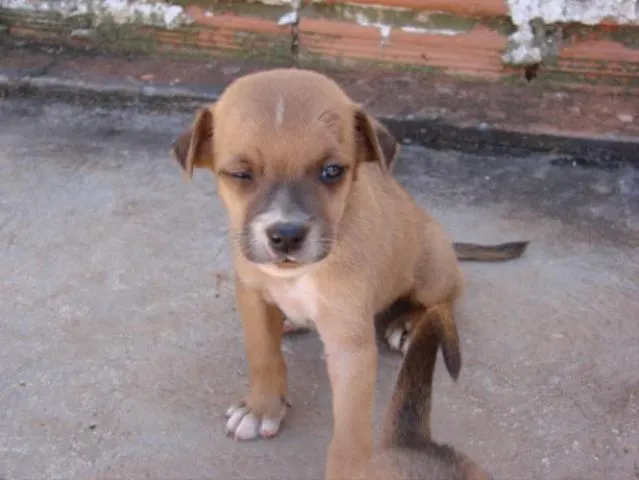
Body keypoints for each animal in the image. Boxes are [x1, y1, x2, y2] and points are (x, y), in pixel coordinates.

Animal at [171, 68, 528, 480]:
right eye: (240, 174)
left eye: (332, 171)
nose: (286, 235)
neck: (299, 275)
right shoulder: (252, 294)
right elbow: (262, 353)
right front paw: (261, 408)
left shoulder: (349, 346)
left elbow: (350, 426)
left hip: (431, 270)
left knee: (446, 299)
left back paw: (408, 322)